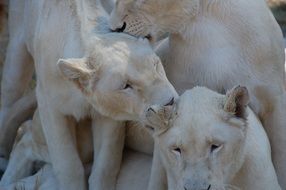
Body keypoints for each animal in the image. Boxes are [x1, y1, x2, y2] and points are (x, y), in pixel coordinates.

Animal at [0, 0, 177, 189]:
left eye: (156, 65)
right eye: (126, 86)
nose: (170, 103)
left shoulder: (109, 116)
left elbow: (105, 165)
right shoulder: (49, 106)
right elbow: (68, 164)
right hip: (17, 51)